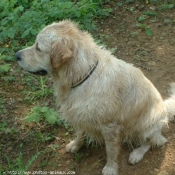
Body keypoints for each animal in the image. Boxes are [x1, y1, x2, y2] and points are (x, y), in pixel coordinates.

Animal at [15, 19, 175, 174]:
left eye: (38, 48)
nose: (16, 55)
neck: (82, 74)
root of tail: (165, 108)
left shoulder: (110, 127)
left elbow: (111, 151)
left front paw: (110, 168)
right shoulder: (78, 114)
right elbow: (80, 133)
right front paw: (76, 145)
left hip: (147, 126)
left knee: (153, 141)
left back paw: (137, 153)